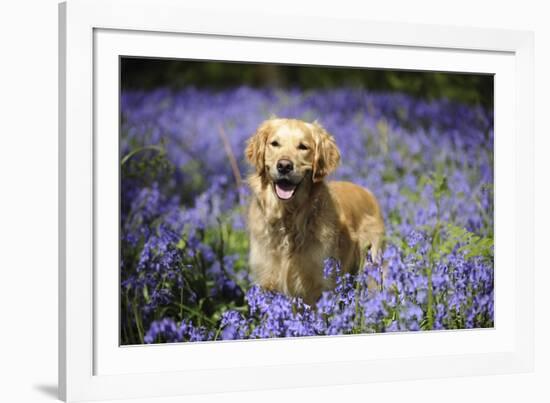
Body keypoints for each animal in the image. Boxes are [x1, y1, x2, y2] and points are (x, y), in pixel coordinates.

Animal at [246, 118, 384, 304]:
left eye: (303, 147)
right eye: (274, 143)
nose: (284, 166)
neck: (288, 218)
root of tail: (367, 191)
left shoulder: (320, 285)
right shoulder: (267, 283)